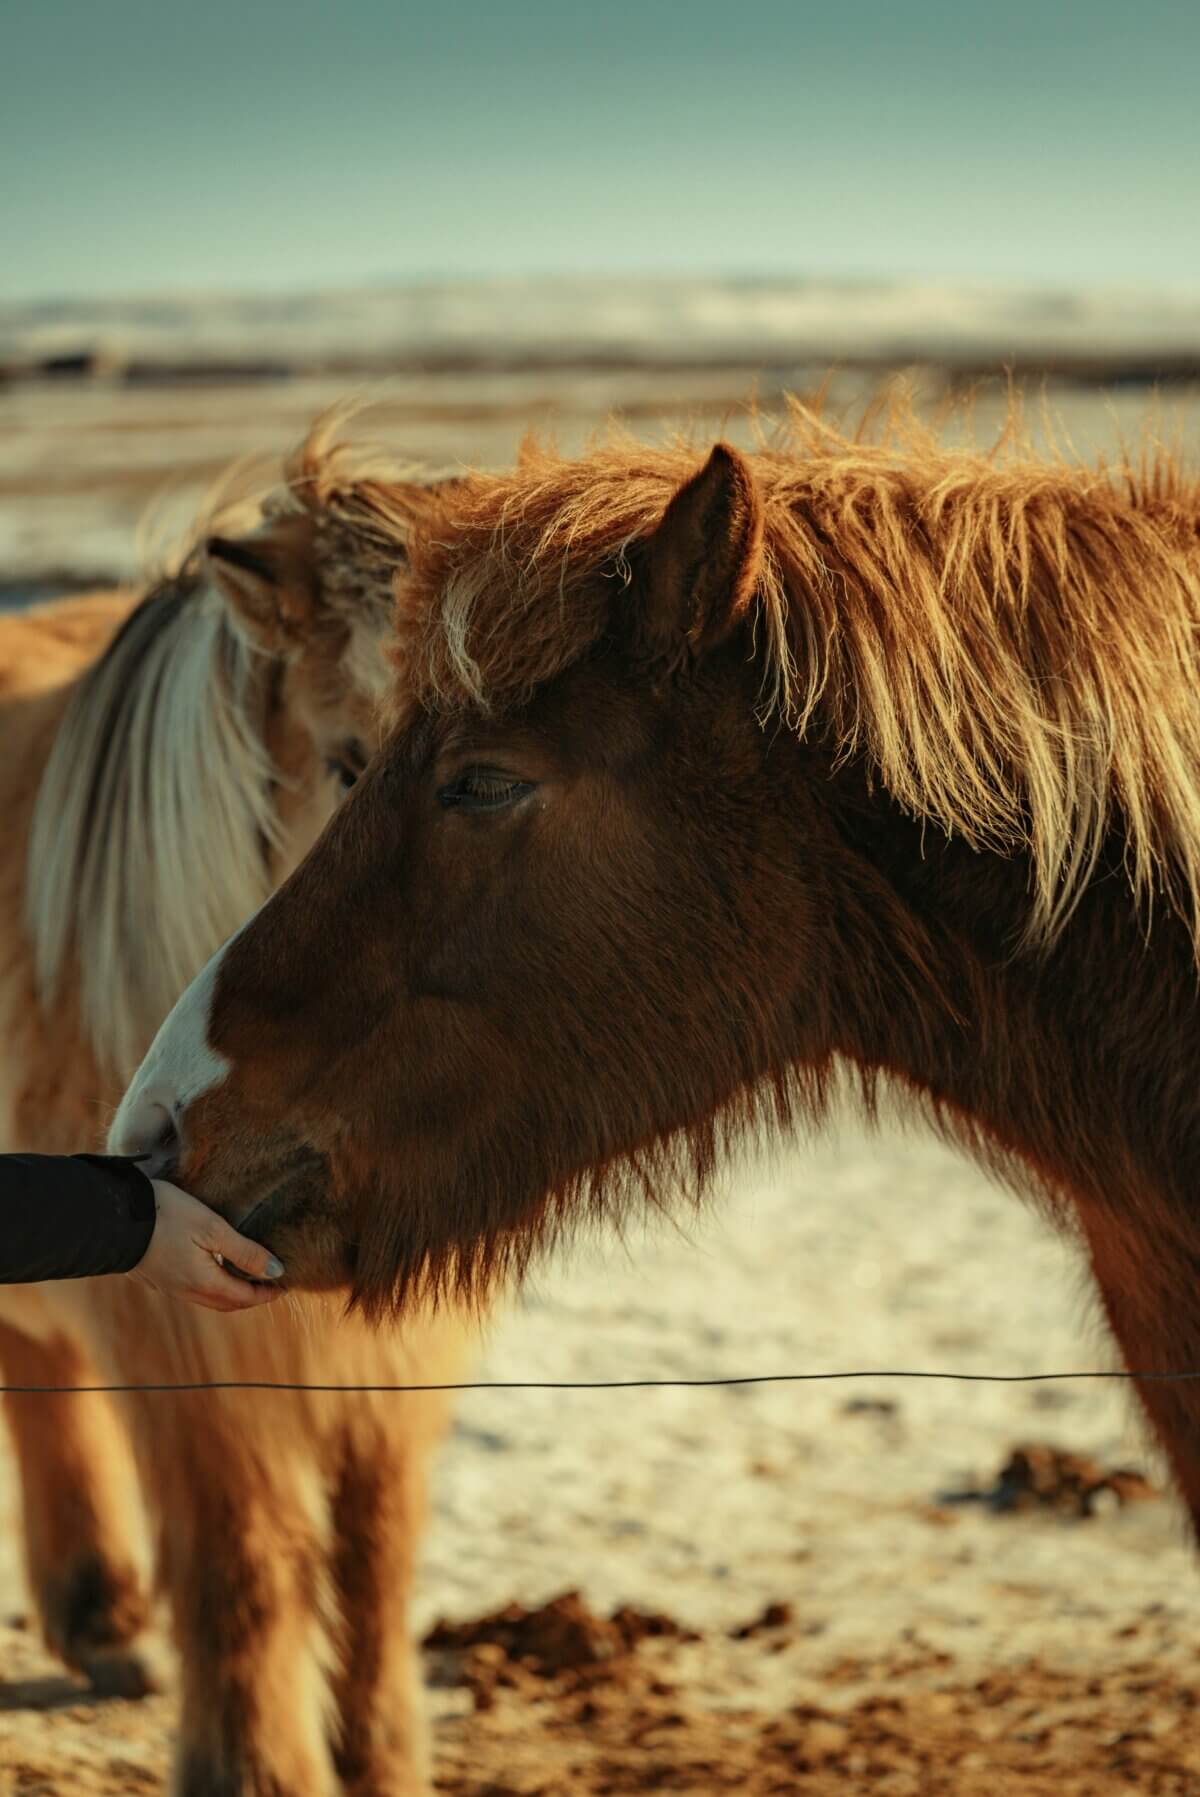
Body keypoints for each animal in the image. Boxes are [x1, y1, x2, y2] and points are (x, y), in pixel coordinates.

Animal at [0, 423, 472, 1796]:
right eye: (351, 763)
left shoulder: (389, 1345)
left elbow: (375, 1552)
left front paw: (384, 1758)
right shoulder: (182, 1337)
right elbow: (244, 1560)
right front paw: (259, 1769)